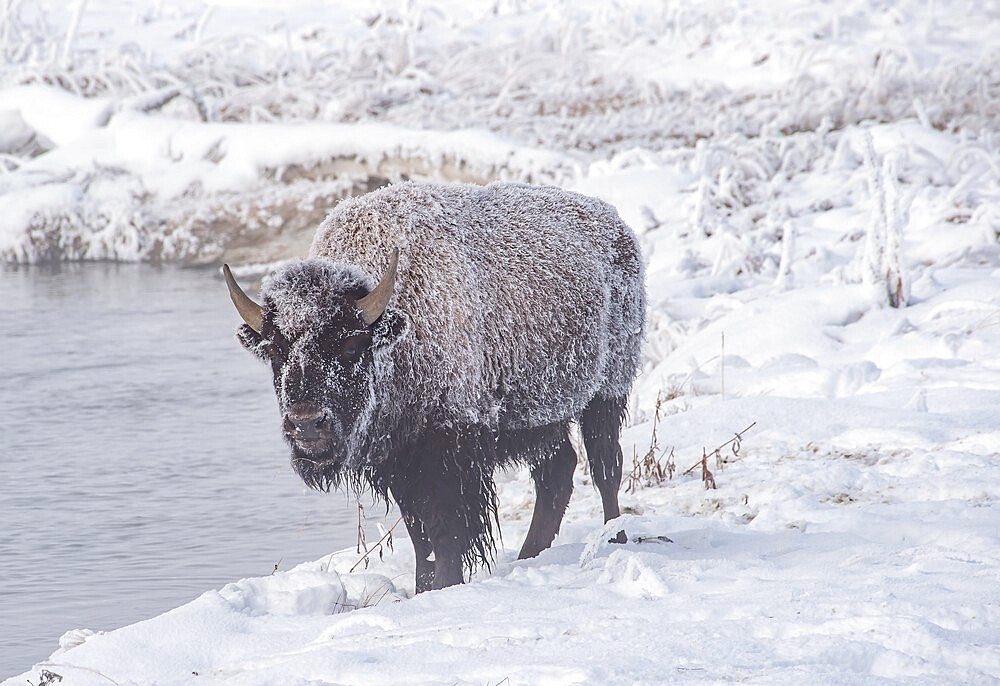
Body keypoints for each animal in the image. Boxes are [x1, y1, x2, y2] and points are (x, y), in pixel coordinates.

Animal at [225, 181, 648, 592]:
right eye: (276, 349)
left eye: (350, 343)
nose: (307, 424)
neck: (397, 330)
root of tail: (616, 225)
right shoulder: (400, 463)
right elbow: (421, 536)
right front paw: (425, 587)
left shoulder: (450, 453)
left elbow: (448, 531)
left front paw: (445, 585)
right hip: (541, 418)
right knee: (558, 471)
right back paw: (529, 556)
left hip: (607, 393)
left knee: (605, 467)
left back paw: (615, 538)